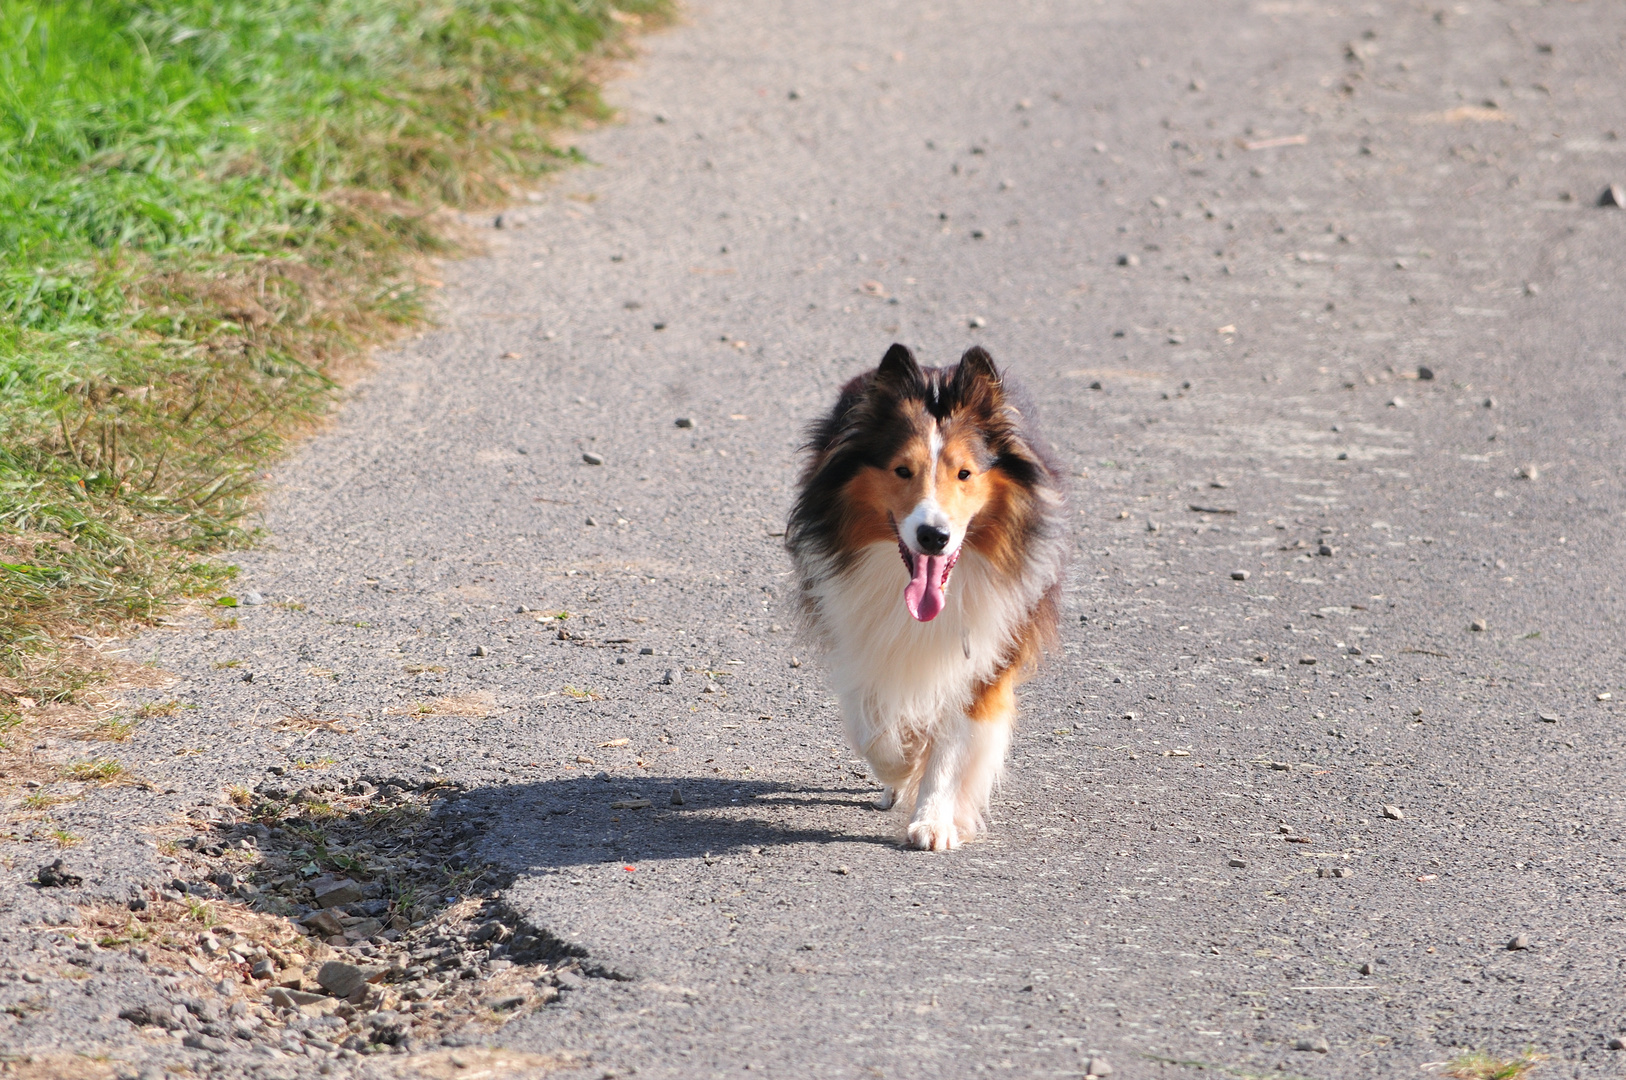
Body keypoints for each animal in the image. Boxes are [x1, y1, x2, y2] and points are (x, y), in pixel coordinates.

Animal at [786, 346, 1066, 852]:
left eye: (965, 473)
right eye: (902, 470)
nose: (934, 536)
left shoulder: (985, 655)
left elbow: (950, 746)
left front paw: (934, 820)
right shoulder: (859, 634)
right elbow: (873, 728)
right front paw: (902, 765)